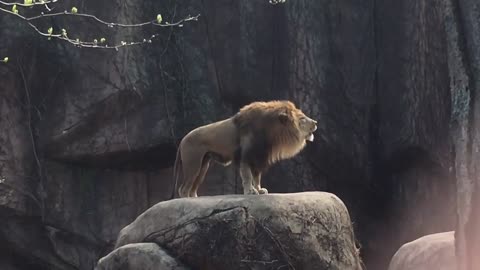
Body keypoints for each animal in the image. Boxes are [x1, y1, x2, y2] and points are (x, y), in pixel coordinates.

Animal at [171, 100, 316, 197]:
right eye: (302, 118)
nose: (316, 122)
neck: (271, 133)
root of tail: (182, 140)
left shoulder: (258, 157)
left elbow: (257, 177)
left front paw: (259, 190)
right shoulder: (246, 156)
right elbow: (247, 175)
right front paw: (250, 191)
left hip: (203, 166)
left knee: (192, 188)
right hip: (193, 164)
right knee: (183, 189)